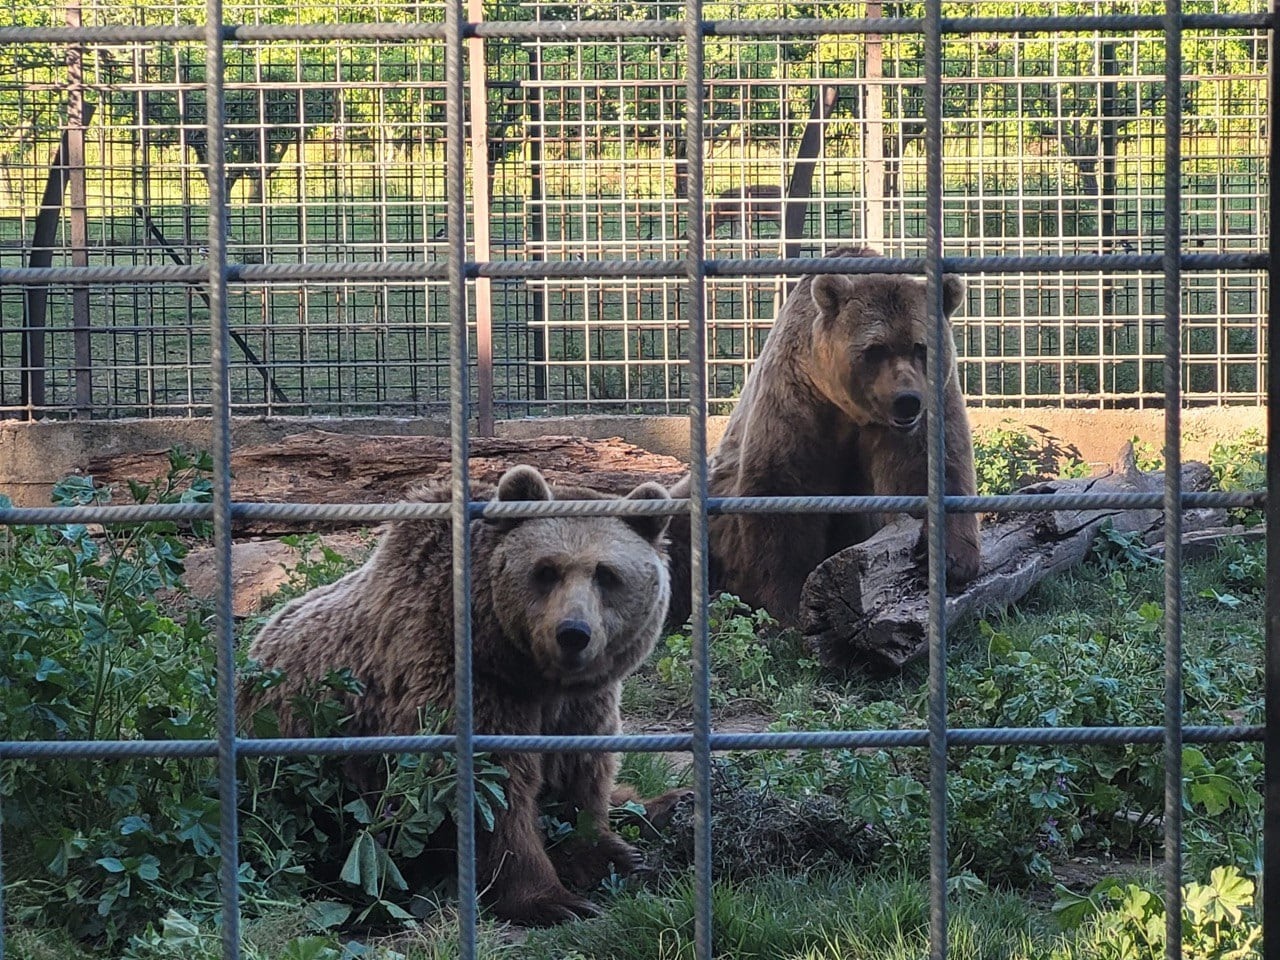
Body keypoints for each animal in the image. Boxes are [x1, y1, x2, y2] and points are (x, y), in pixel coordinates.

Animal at [238, 464, 683, 927]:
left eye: (606, 574)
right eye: (546, 571)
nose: (573, 633)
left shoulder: (581, 703)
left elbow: (581, 771)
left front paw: (611, 852)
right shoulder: (462, 680)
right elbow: (490, 791)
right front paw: (553, 898)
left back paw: (667, 803)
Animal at [665, 245, 981, 628]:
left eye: (920, 347)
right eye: (875, 348)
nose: (906, 400)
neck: (852, 411)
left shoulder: (929, 408)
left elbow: (930, 471)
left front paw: (948, 560)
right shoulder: (798, 402)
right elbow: (784, 494)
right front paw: (790, 602)